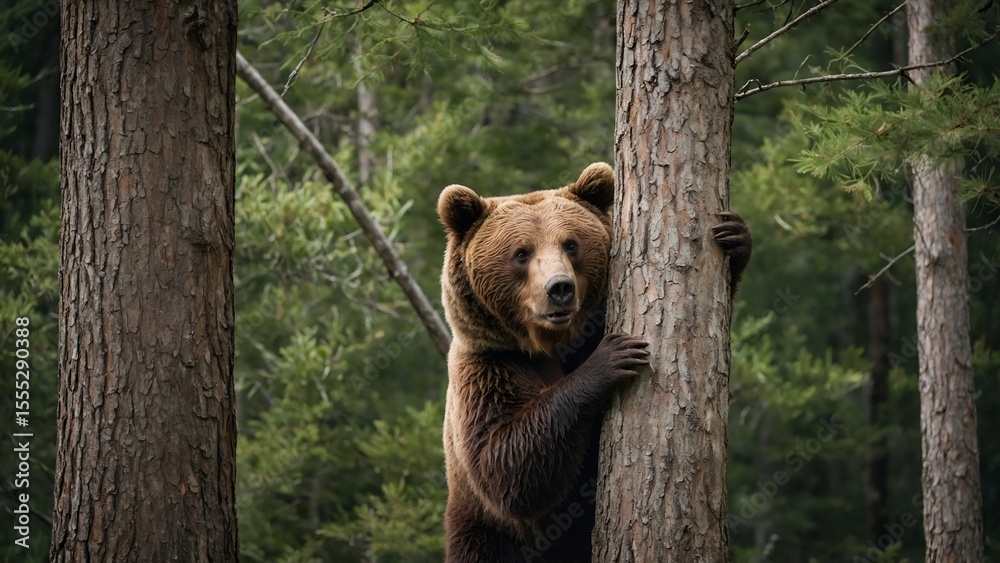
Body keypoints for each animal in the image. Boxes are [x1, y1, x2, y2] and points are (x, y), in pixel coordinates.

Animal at [437, 162, 751, 563]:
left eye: (571, 244)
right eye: (521, 253)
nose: (559, 288)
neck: (553, 343)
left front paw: (735, 235)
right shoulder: (491, 367)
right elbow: (505, 463)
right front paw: (614, 356)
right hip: (483, 536)